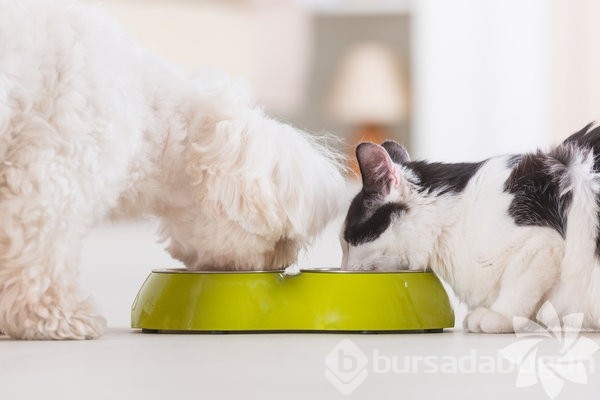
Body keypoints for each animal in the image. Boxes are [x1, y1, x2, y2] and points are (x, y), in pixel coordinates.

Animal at [0, 0, 344, 340]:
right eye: (283, 239)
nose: (284, 262)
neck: (149, 115)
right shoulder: (56, 170)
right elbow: (43, 250)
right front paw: (55, 316)